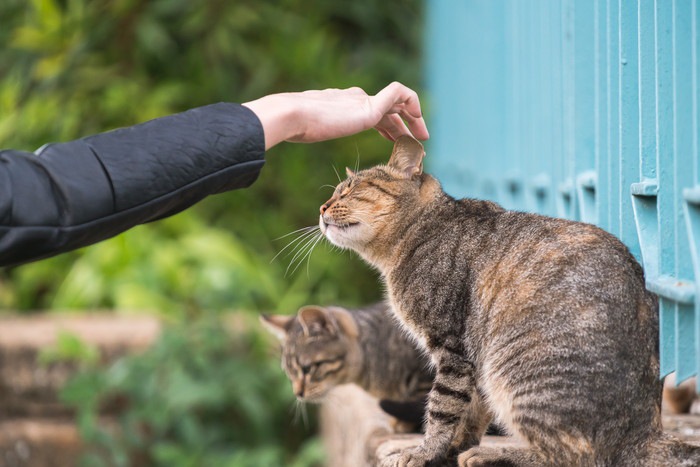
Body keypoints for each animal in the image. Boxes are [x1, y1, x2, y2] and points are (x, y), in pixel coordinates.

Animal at [318, 133, 700, 466]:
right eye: (335, 193)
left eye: (350, 191)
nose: (322, 207)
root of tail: (645, 435)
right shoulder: (474, 359)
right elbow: (471, 412)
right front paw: (450, 450)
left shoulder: (452, 347)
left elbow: (442, 408)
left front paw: (425, 452)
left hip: (517, 373)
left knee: (573, 457)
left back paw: (496, 455)